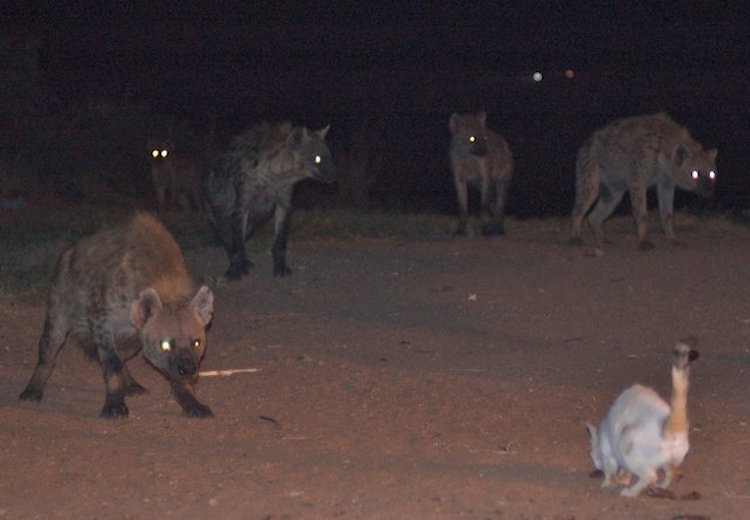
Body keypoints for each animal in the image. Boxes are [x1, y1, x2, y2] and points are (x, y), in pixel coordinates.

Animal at [19, 212, 215, 418]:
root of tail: (68, 252)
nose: (188, 369)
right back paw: (32, 391)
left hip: (133, 341)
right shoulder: (99, 316)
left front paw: (192, 403)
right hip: (59, 301)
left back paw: (133, 385)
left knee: (122, 354)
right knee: (50, 347)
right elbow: (111, 363)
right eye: (165, 345)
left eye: (197, 343)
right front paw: (114, 406)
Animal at [203, 121, 335, 280]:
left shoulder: (284, 200)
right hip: (218, 206)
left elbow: (280, 240)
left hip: (253, 222)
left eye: (329, 156)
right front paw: (235, 272)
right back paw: (242, 262)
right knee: (227, 234)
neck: (275, 177)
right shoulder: (242, 204)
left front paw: (281, 269)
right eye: (317, 158)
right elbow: (237, 243)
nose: (333, 176)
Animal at [570, 112, 717, 250]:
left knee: (595, 214)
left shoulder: (666, 183)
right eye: (695, 174)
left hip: (615, 190)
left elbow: (667, 214)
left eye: (712, 174)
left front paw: (673, 239)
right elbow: (641, 213)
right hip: (589, 174)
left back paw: (604, 240)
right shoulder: (637, 180)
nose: (709, 191)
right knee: (580, 206)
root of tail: (583, 146)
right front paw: (645, 242)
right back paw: (576, 238)